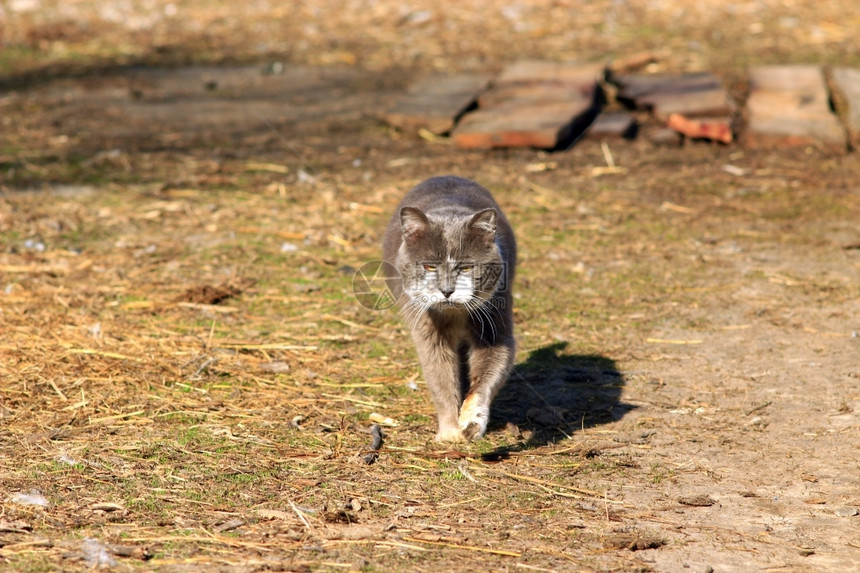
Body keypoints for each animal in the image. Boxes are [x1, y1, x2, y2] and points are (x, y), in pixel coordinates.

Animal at [382, 175, 516, 442]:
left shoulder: (495, 321)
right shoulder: (428, 330)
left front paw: (471, 422)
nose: (446, 290)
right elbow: (440, 378)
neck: (455, 313)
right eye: (429, 266)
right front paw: (450, 433)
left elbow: (489, 373)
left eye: (466, 268)